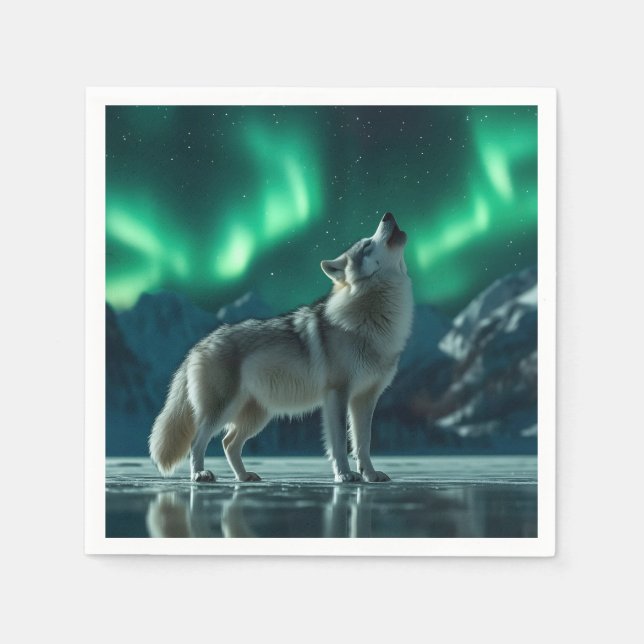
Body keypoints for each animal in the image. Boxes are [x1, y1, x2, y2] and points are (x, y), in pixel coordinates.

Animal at [149, 212, 413, 483]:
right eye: (367, 245)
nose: (388, 215)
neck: (373, 320)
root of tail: (199, 345)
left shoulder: (365, 398)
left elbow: (363, 443)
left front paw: (369, 474)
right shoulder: (337, 394)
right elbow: (339, 442)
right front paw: (344, 475)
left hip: (258, 416)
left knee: (228, 443)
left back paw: (244, 476)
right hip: (222, 410)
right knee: (197, 442)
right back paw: (200, 474)